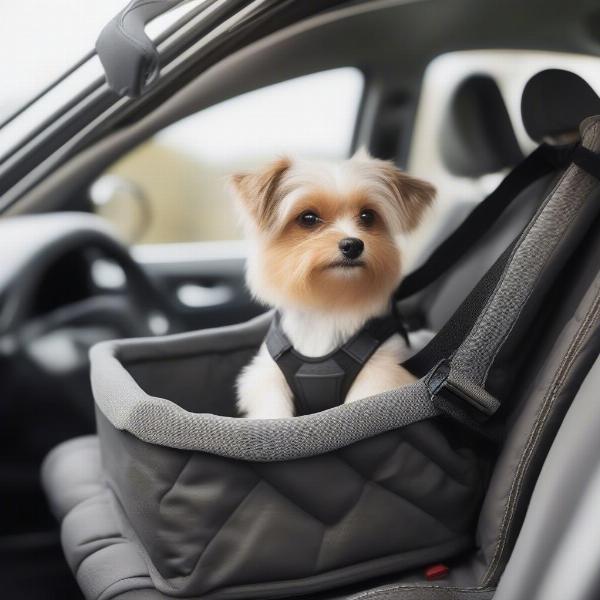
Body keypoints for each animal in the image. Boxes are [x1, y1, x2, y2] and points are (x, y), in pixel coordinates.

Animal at [231, 150, 436, 418]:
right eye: (308, 218)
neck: (329, 304)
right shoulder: (268, 379)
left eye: (368, 216)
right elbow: (273, 412)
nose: (353, 244)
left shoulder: (381, 372)